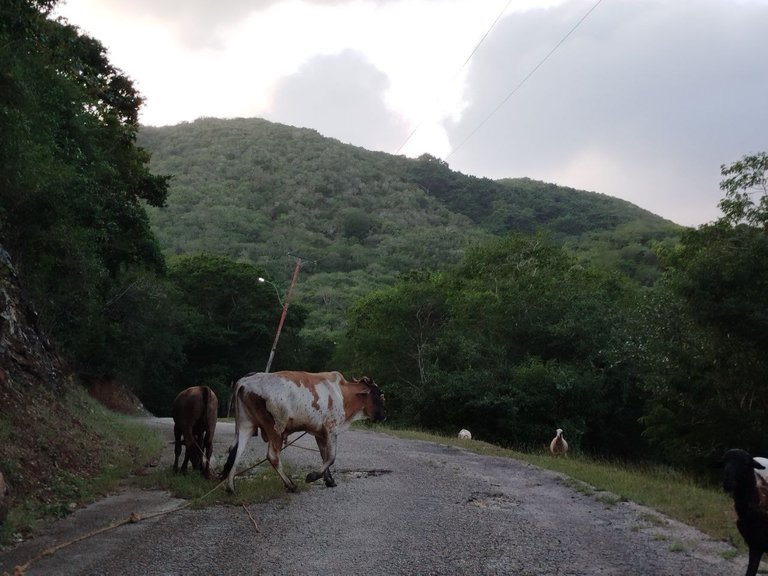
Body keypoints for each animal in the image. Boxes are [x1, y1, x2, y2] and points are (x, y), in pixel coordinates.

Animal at [224, 372, 388, 492]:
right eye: (377, 394)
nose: (384, 416)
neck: (342, 393)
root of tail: (244, 382)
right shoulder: (331, 429)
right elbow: (331, 457)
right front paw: (312, 476)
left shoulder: (320, 433)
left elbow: (324, 455)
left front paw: (329, 480)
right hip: (275, 428)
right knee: (272, 456)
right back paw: (290, 485)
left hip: (246, 426)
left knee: (236, 452)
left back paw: (230, 487)